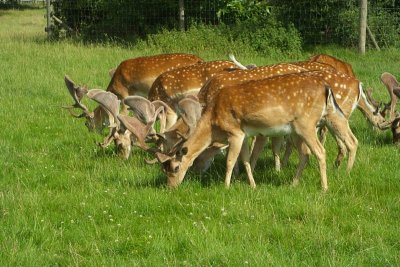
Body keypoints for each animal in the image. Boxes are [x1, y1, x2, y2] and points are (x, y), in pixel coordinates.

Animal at [158, 72, 358, 192]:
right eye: (164, 169)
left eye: (175, 167)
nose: (170, 187)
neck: (213, 123)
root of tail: (326, 87)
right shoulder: (245, 134)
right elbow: (246, 158)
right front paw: (252, 185)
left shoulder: (235, 132)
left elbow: (230, 160)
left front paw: (226, 186)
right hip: (307, 125)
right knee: (308, 153)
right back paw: (294, 183)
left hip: (307, 123)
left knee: (320, 151)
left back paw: (324, 187)